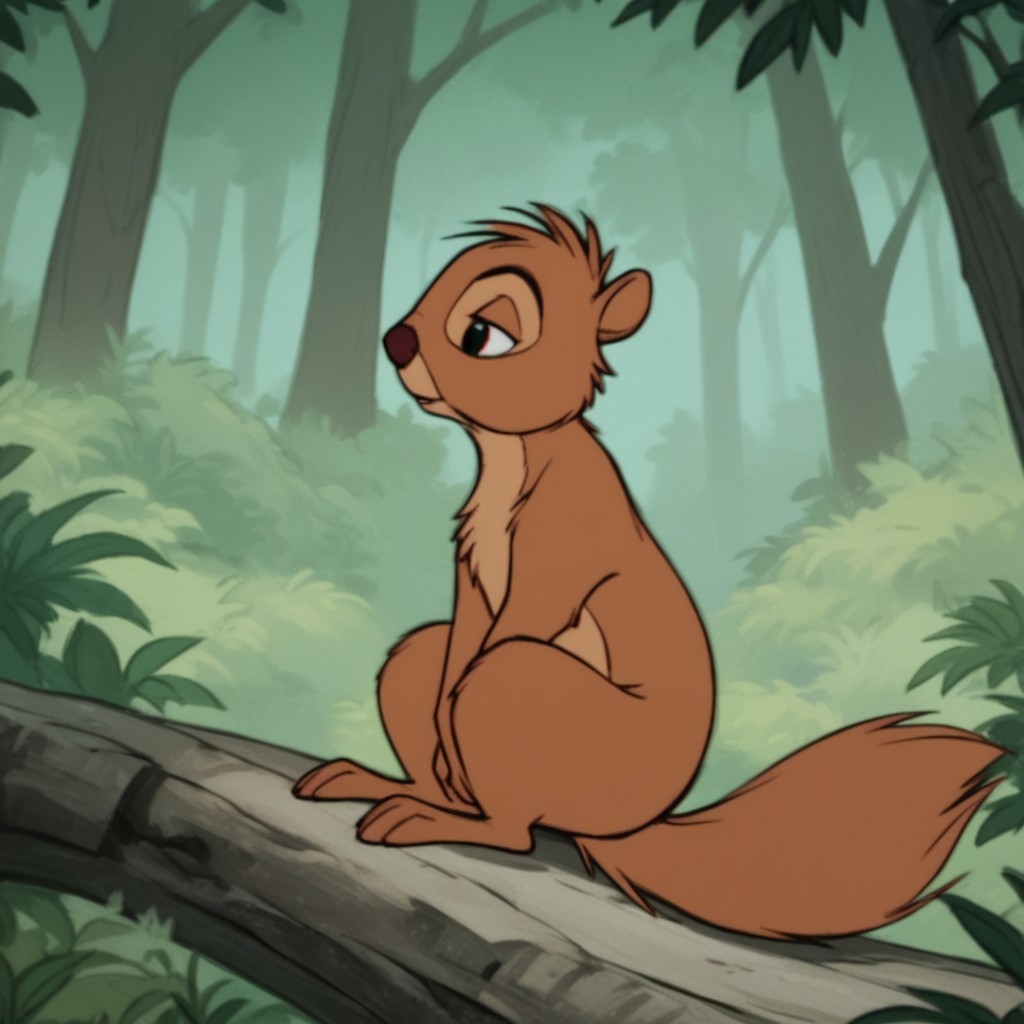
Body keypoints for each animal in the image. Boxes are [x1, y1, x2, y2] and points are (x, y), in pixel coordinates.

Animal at [293, 203, 1004, 940]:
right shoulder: (472, 566)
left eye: (483, 334)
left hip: (535, 704)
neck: (513, 454)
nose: (397, 340)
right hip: (422, 666)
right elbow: (461, 642)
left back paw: (431, 815)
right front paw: (436, 744)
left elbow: (523, 618)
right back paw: (391, 786)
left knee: (512, 822)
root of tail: (634, 825)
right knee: (431, 669)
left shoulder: (563, 543)